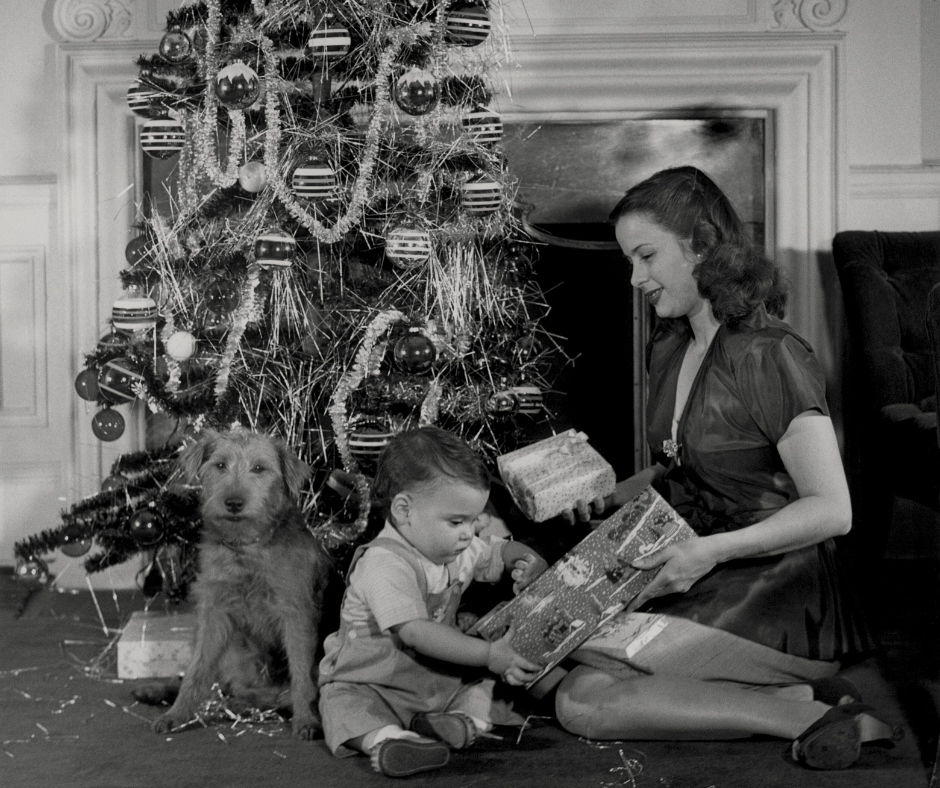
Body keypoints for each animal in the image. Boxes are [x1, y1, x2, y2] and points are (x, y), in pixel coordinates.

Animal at [143, 430, 334, 740]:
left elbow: (301, 676)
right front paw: (176, 714)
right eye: (220, 465)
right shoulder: (213, 613)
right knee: (231, 686)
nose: (233, 503)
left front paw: (306, 720)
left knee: (270, 693)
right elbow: (195, 670)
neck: (245, 549)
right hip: (237, 650)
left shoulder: (296, 616)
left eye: (259, 468)